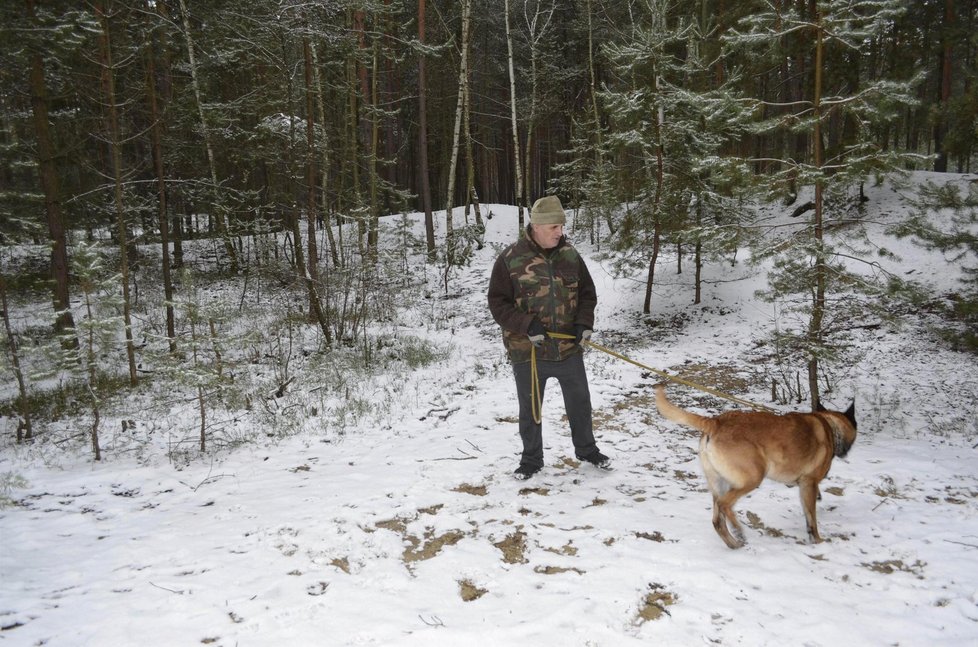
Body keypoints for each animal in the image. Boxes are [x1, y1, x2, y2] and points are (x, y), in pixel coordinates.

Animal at [656, 388, 856, 548]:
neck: (831, 426)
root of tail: (715, 422)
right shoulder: (809, 483)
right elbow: (811, 519)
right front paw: (817, 540)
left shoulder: (806, 486)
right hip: (753, 477)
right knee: (724, 505)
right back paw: (738, 530)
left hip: (719, 483)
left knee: (717, 520)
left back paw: (734, 544)